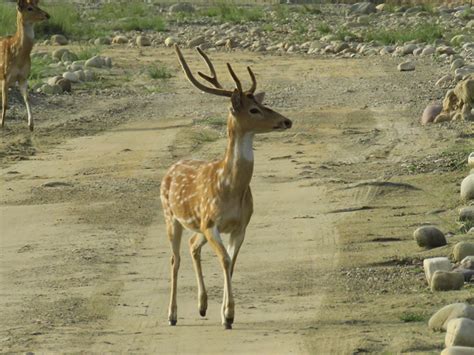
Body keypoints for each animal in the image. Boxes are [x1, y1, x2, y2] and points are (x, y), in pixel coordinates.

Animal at [0, 0, 49, 131]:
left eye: (37, 5)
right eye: (29, 8)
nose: (47, 15)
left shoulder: (23, 76)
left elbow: (27, 98)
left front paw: (31, 125)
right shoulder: (4, 76)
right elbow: (5, 103)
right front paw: (1, 124)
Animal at [160, 45, 292, 330]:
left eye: (263, 103)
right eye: (253, 110)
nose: (287, 121)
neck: (230, 187)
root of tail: (171, 168)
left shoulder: (240, 226)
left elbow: (231, 263)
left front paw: (224, 313)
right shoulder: (211, 223)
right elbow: (225, 259)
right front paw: (229, 315)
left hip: (197, 225)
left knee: (192, 245)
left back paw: (202, 306)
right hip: (171, 216)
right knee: (175, 259)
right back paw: (172, 315)